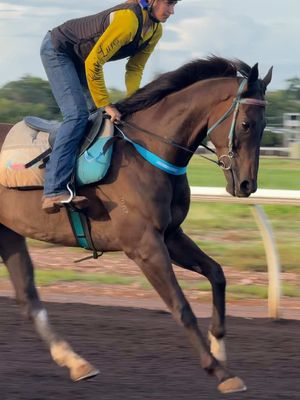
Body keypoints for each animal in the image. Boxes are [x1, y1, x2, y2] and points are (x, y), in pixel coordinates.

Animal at [0, 56, 272, 394]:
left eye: (265, 125)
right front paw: (220, 372)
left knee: (28, 299)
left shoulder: (170, 235)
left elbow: (217, 274)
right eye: (246, 124)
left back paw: (76, 362)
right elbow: (181, 306)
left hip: (8, 233)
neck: (149, 150)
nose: (248, 185)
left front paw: (219, 347)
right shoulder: (144, 245)